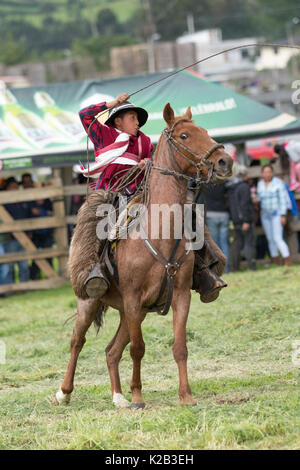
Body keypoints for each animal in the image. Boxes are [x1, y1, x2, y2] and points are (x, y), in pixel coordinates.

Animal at [53, 103, 232, 408]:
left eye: (205, 131)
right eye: (184, 135)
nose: (224, 161)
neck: (160, 233)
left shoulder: (179, 296)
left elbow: (180, 347)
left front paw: (186, 396)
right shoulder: (134, 298)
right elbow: (138, 349)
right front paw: (138, 396)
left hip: (128, 313)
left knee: (111, 350)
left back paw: (118, 397)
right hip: (90, 303)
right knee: (78, 341)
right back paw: (64, 392)